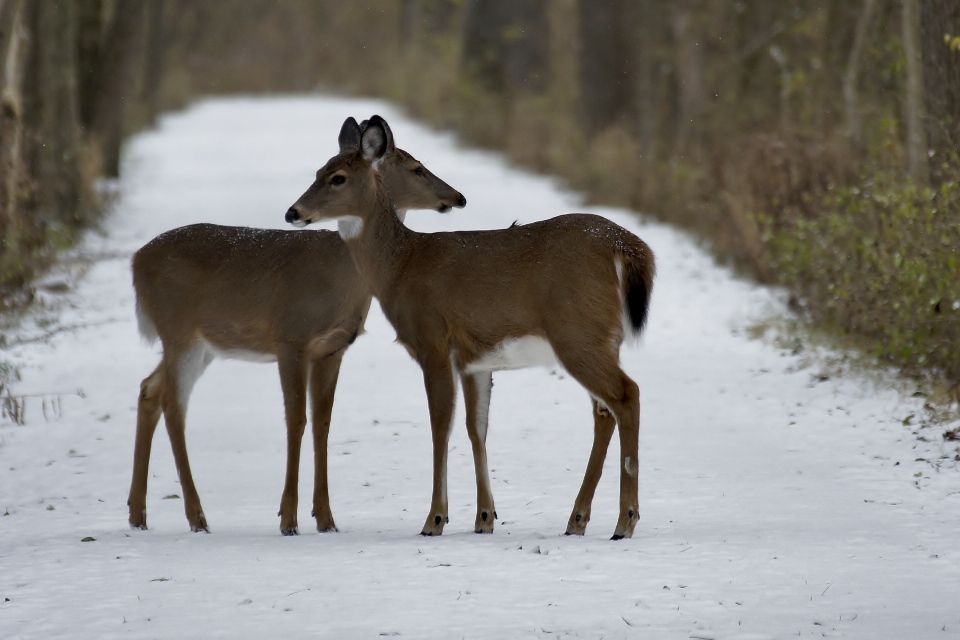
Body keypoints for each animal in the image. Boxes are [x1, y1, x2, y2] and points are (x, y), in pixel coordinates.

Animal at [129, 119, 466, 536]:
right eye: (417, 168)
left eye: (334, 176)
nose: (457, 197)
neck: (341, 276)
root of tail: (135, 262)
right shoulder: (290, 338)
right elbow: (296, 420)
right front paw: (288, 518)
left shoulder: (333, 347)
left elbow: (322, 422)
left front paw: (325, 518)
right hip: (178, 332)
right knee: (173, 405)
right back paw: (197, 517)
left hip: (202, 345)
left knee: (149, 388)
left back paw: (138, 513)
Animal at [284, 116, 656, 540]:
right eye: (318, 172)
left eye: (338, 178)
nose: (293, 212)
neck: (401, 267)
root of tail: (627, 245)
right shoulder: (475, 360)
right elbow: (476, 425)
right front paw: (484, 518)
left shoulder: (432, 341)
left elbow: (440, 425)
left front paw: (434, 520)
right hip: (603, 338)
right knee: (604, 410)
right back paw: (577, 520)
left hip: (576, 333)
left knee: (626, 394)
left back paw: (624, 521)